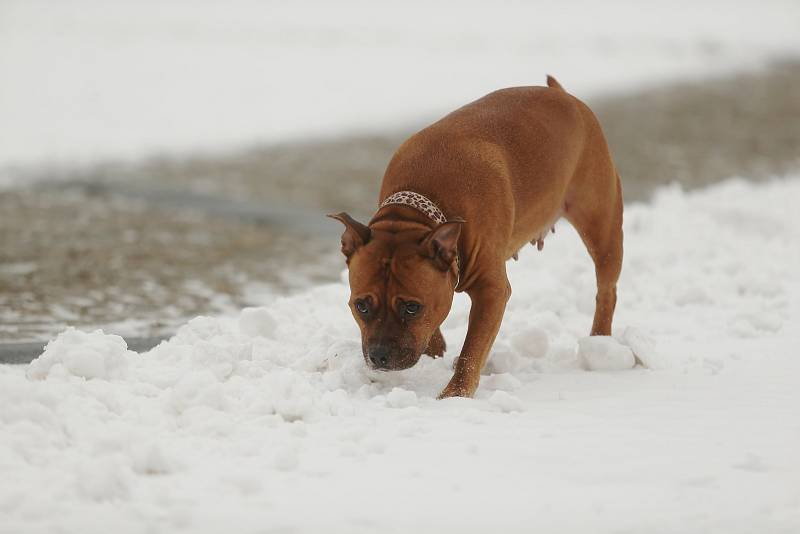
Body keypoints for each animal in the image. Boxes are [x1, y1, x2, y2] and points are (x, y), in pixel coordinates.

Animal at [328, 77, 620, 400]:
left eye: (412, 307)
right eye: (361, 306)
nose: (379, 356)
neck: (416, 211)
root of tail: (563, 95)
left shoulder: (491, 291)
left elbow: (473, 348)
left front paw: (454, 395)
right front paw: (437, 353)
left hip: (602, 225)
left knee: (606, 288)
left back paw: (600, 342)